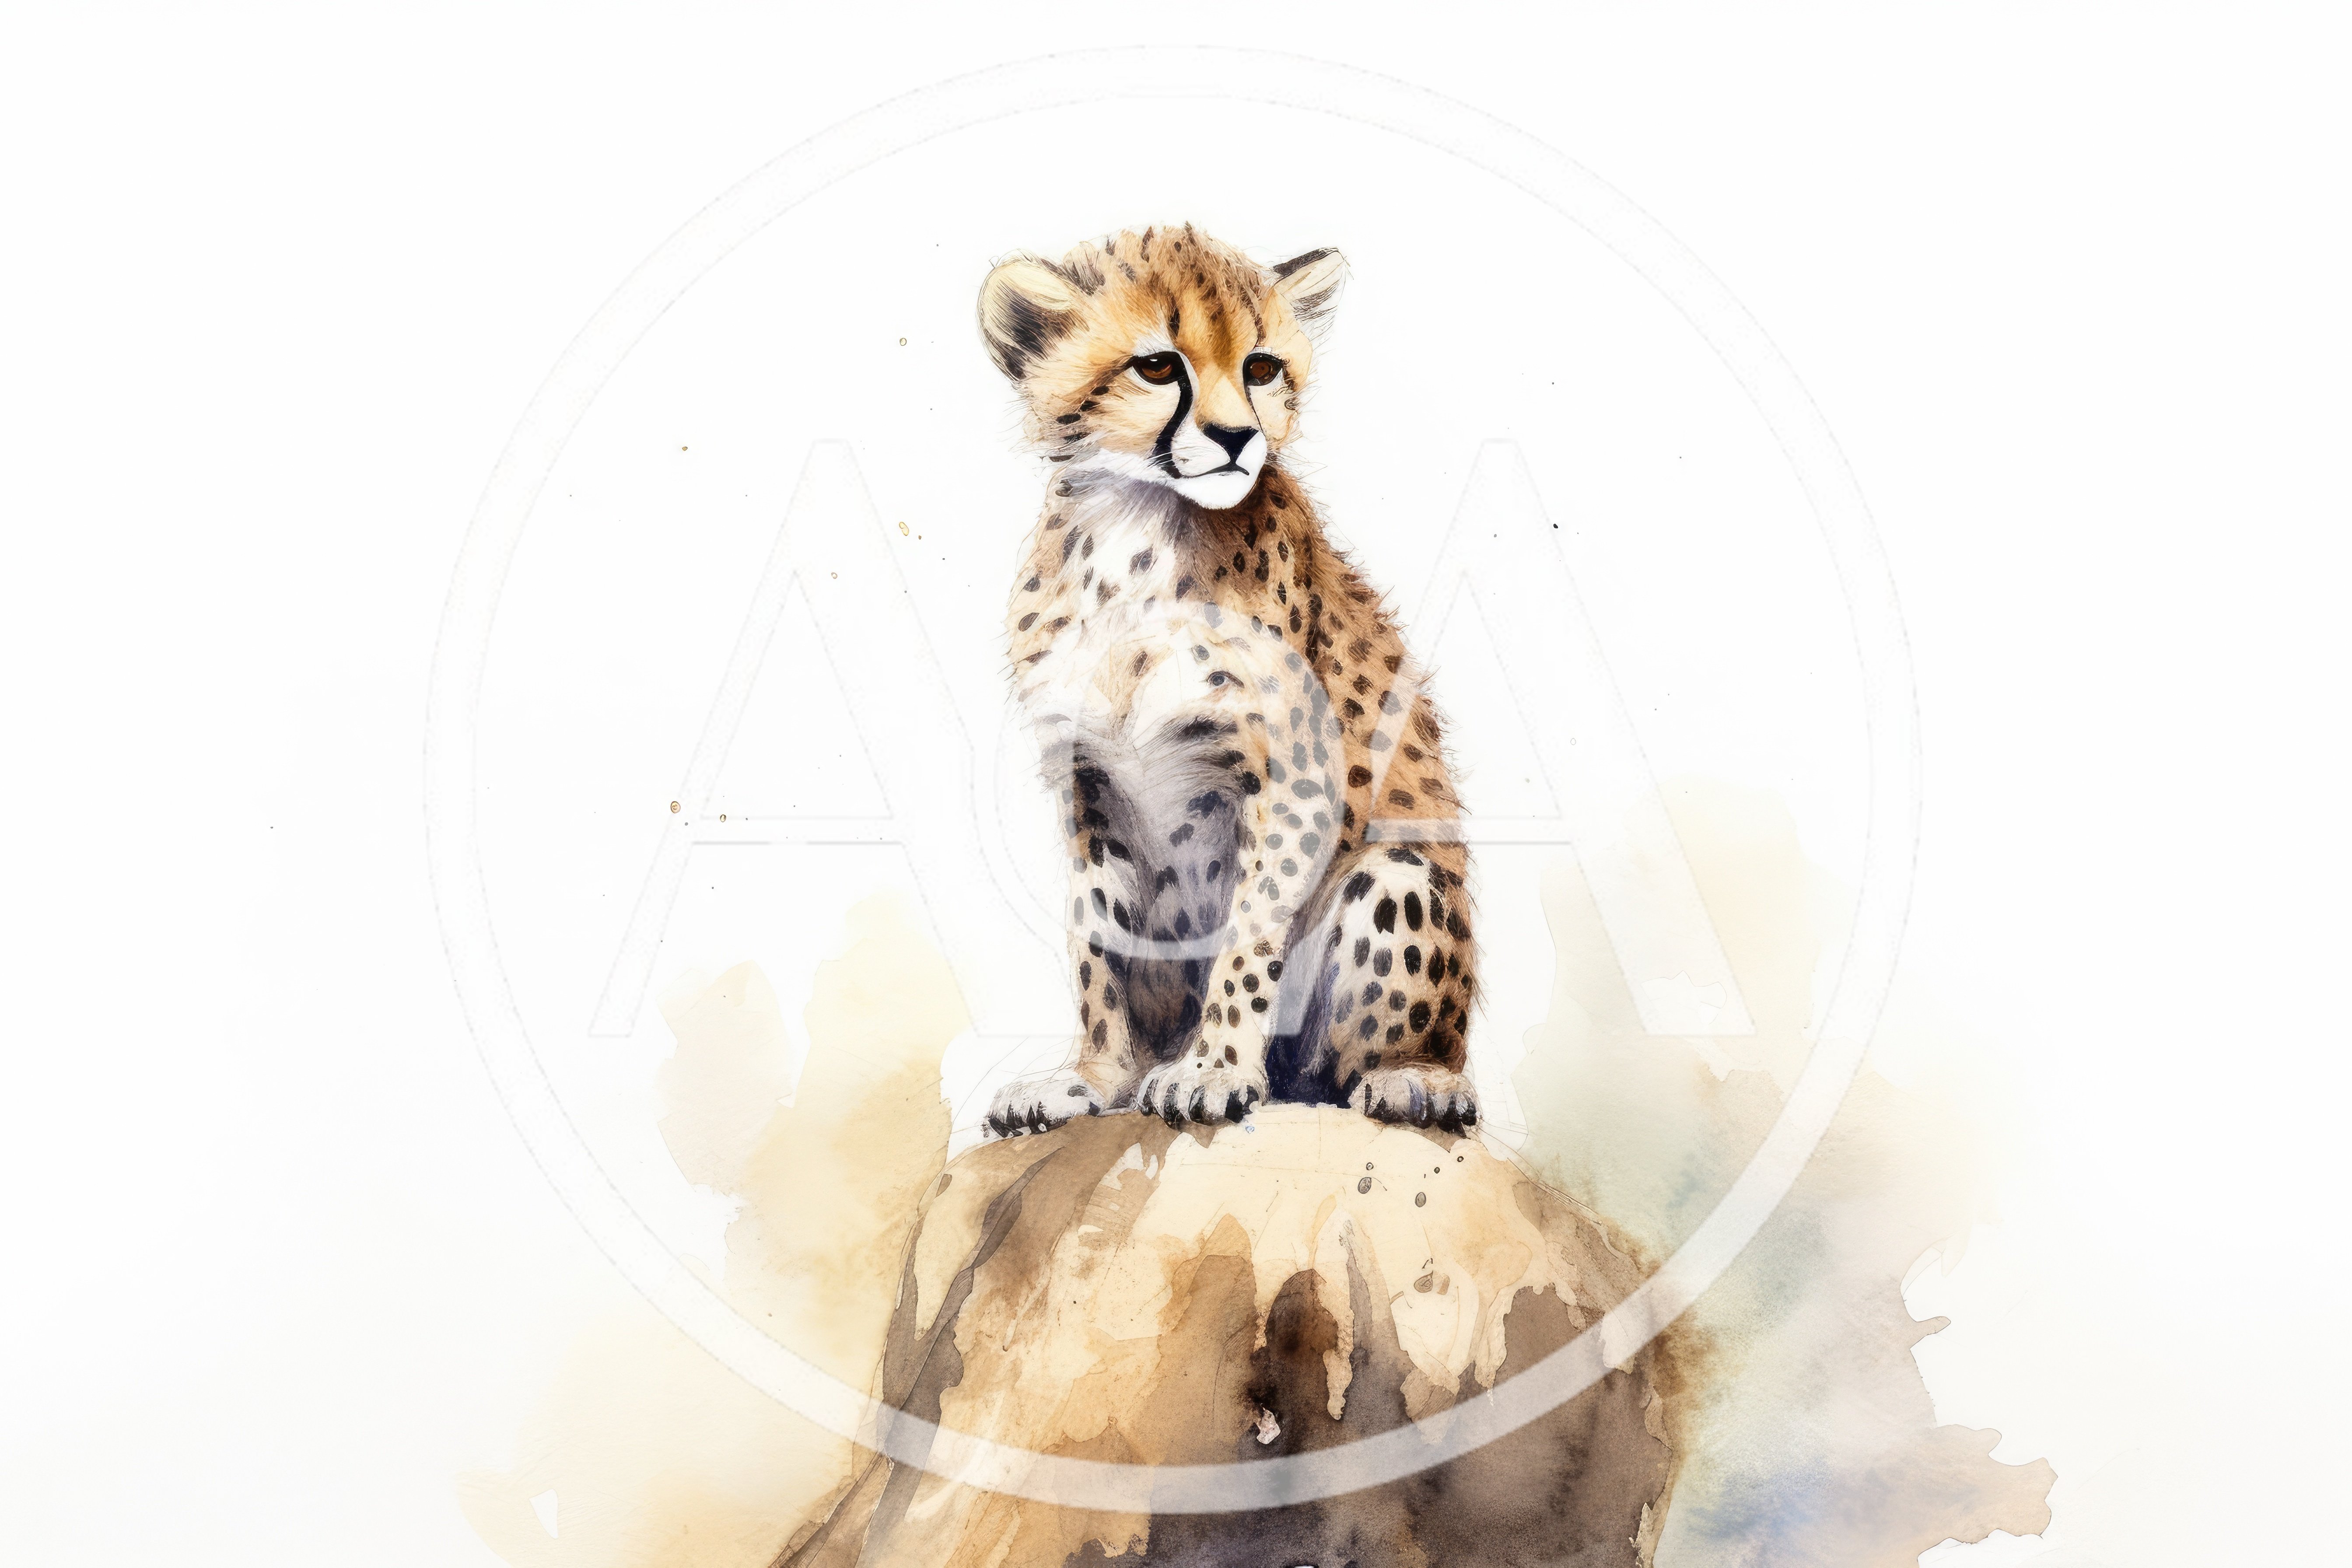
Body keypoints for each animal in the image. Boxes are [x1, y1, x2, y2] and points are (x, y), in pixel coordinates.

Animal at [978, 225, 1479, 1139]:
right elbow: (1097, 947)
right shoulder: (1088, 782)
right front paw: (1092, 1078)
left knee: (1349, 1061)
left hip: (1399, 878)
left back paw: (1413, 1077)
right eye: (1156, 366)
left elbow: (1249, 932)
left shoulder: (1291, 776)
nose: (1238, 438)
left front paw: (1212, 1068)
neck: (1133, 531)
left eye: (1262, 367)